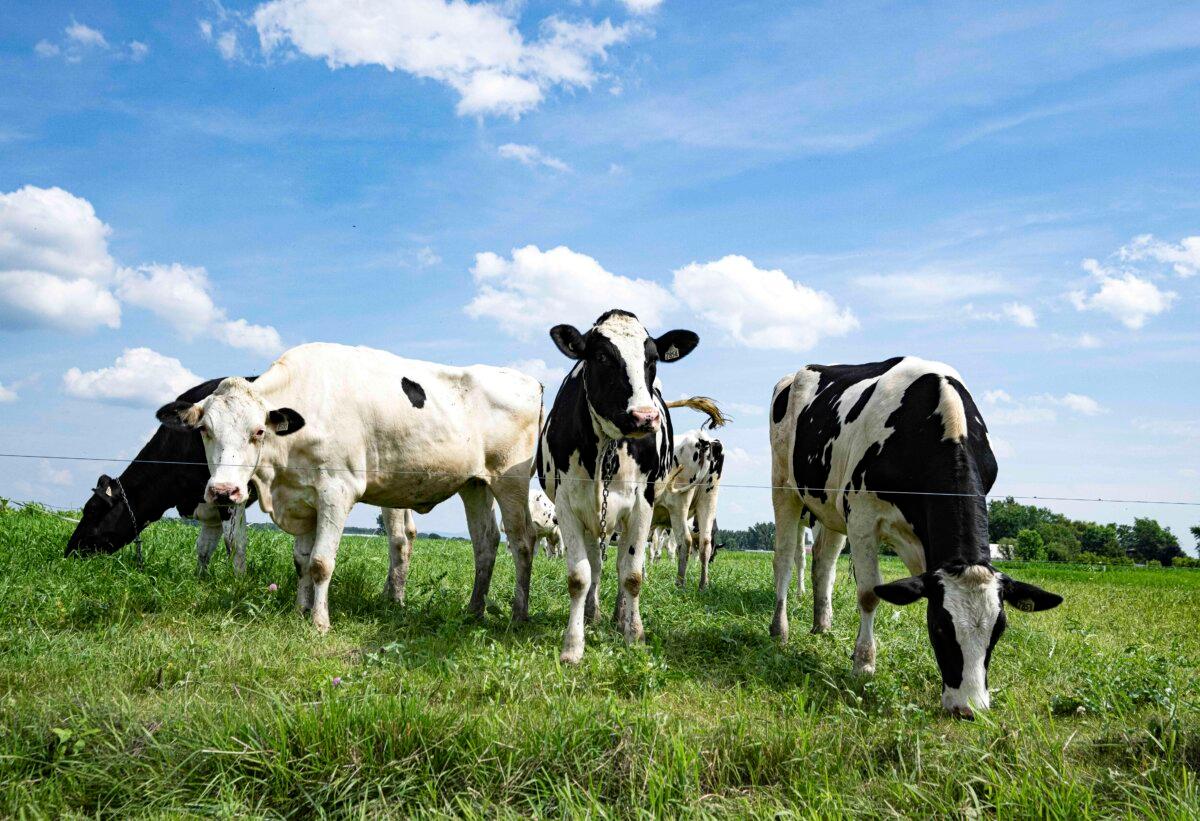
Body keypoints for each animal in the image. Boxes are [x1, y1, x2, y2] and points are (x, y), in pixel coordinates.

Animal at [66, 376, 257, 573]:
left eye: (92, 509)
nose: (69, 552)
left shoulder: (227, 492)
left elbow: (235, 543)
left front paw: (237, 579)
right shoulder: (208, 501)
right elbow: (204, 547)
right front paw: (200, 577)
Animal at [156, 342, 541, 633]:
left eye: (258, 431)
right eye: (205, 430)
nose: (225, 491)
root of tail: (529, 380)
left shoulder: (335, 492)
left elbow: (320, 562)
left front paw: (319, 622)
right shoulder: (301, 497)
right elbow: (301, 560)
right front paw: (299, 610)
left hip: (510, 479)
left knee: (522, 541)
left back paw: (518, 616)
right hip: (475, 484)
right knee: (485, 543)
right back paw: (474, 611)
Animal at [652, 429, 724, 589]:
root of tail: (702, 438)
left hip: (678, 504)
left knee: (684, 541)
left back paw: (680, 583)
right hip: (709, 499)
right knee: (705, 543)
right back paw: (703, 585)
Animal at [768, 356, 1062, 718]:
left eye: (999, 630)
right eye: (941, 627)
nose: (969, 709)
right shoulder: (862, 516)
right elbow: (869, 594)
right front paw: (864, 664)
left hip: (829, 506)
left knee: (823, 564)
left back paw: (822, 625)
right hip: (784, 486)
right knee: (783, 559)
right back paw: (779, 630)